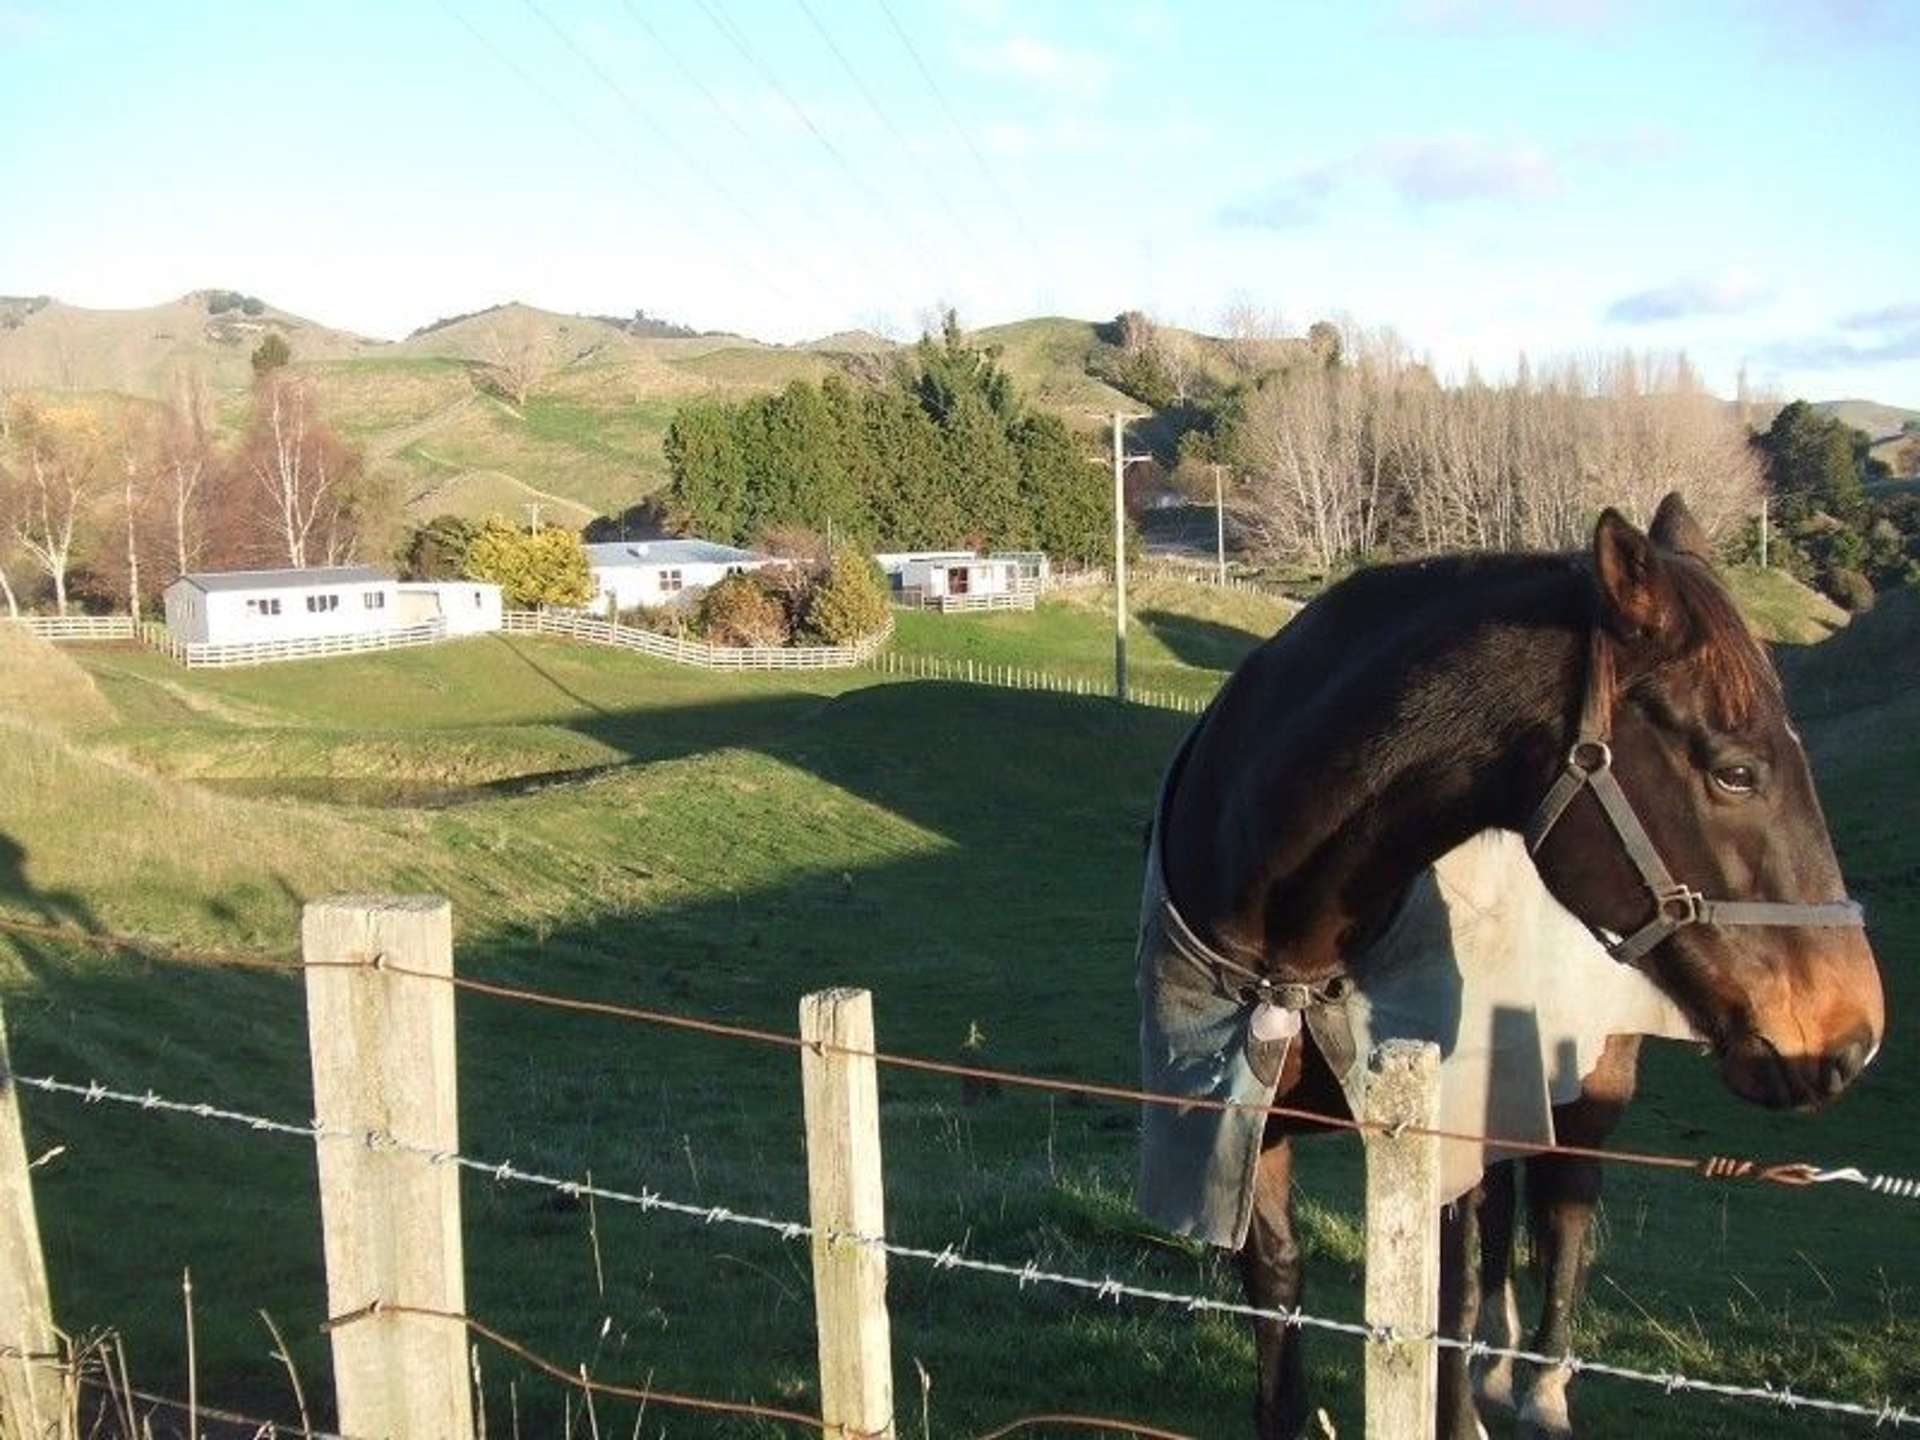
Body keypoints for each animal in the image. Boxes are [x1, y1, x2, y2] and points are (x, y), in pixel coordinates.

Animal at [1136, 499, 1873, 1440]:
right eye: (1735, 772)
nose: (1850, 1035)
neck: (1294, 954)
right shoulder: (1246, 1124)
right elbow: (1280, 1303)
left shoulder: (1438, 1132)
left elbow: (1443, 1315)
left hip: (1593, 1081)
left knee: (1567, 1204)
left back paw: (1540, 1385)